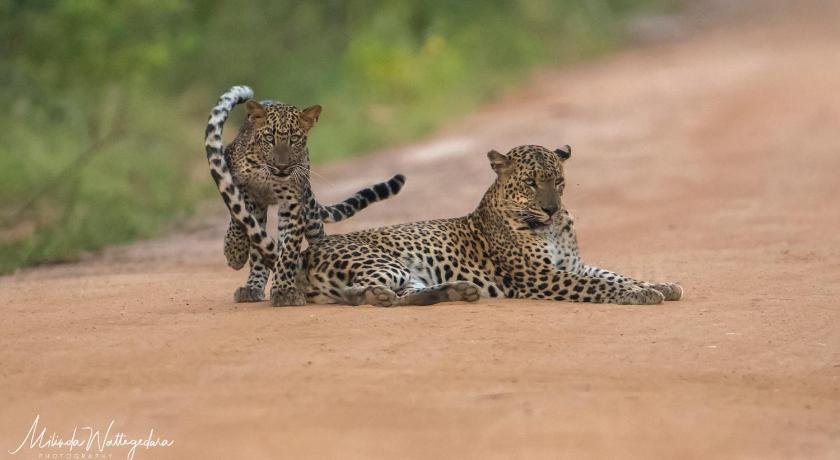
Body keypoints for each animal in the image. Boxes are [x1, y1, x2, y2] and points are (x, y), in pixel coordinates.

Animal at [205, 85, 405, 305]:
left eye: (294, 140)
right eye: (269, 138)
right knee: (257, 248)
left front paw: (284, 290)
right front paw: (235, 252)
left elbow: (289, 251)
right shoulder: (242, 188)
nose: (282, 167)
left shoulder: (292, 204)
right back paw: (252, 286)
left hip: (311, 216)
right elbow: (237, 219)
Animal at [289, 144, 683, 307]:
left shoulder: (572, 265)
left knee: (405, 296)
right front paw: (638, 294)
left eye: (558, 181)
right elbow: (598, 285)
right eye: (531, 183)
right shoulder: (541, 276)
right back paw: (379, 297)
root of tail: (308, 254)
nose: (552, 209)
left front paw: (658, 285)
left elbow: (613, 274)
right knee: (359, 294)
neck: (552, 228)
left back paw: (457, 291)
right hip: (386, 264)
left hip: (410, 274)